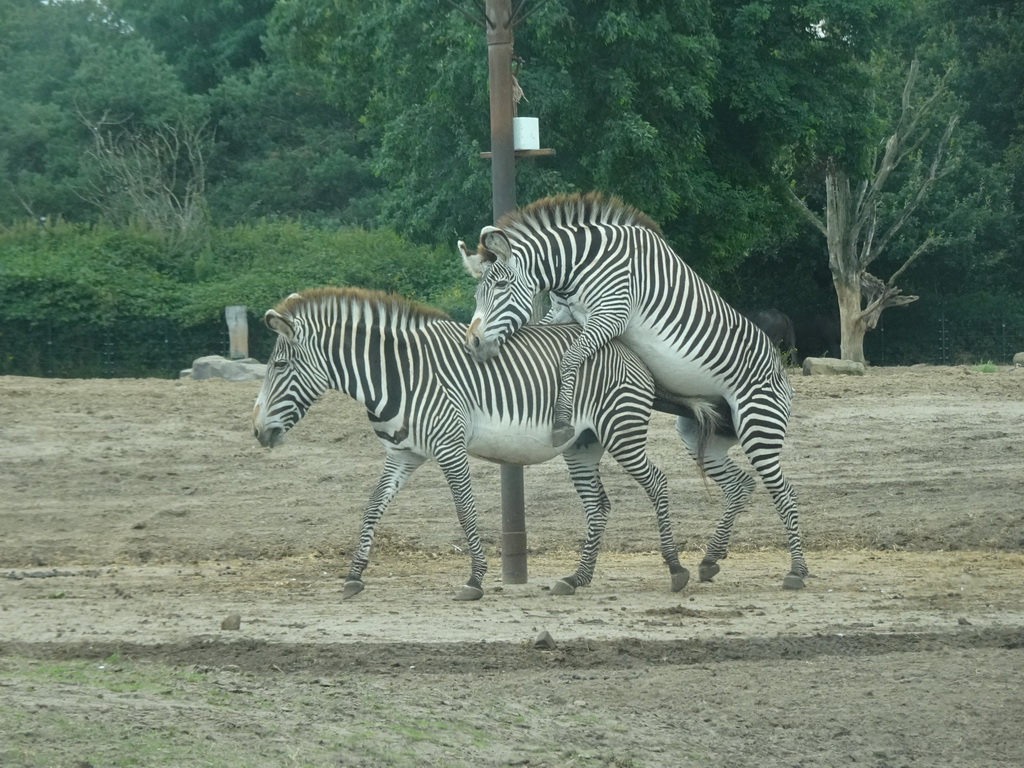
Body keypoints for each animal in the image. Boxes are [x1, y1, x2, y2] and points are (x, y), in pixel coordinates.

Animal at [253, 286, 720, 602]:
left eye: (280, 365)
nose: (258, 432)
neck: (396, 377)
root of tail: (627, 349)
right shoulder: (401, 455)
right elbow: (372, 507)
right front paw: (354, 576)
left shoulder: (449, 447)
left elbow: (465, 511)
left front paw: (475, 579)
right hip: (581, 444)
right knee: (599, 506)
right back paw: (576, 578)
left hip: (621, 431)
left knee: (657, 483)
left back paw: (676, 569)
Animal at [462, 191, 806, 589]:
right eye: (477, 292)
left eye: (501, 288)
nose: (472, 344)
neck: (580, 264)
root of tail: (782, 373)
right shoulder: (563, 312)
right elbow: (550, 338)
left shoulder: (611, 315)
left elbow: (570, 357)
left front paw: (562, 420)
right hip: (700, 434)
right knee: (740, 486)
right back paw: (709, 559)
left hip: (757, 425)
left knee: (784, 491)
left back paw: (796, 571)